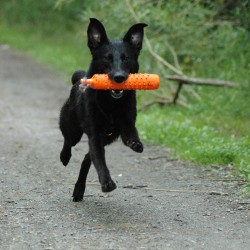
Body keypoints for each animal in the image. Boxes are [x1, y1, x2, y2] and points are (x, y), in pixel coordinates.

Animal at [59, 18, 147, 201]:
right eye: (107, 58)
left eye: (126, 58)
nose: (119, 77)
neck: (111, 104)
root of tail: (79, 79)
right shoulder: (95, 135)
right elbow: (100, 162)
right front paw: (107, 183)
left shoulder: (126, 125)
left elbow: (131, 135)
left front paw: (135, 143)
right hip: (73, 128)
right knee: (69, 141)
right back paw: (64, 156)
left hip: (108, 138)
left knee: (87, 158)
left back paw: (79, 189)